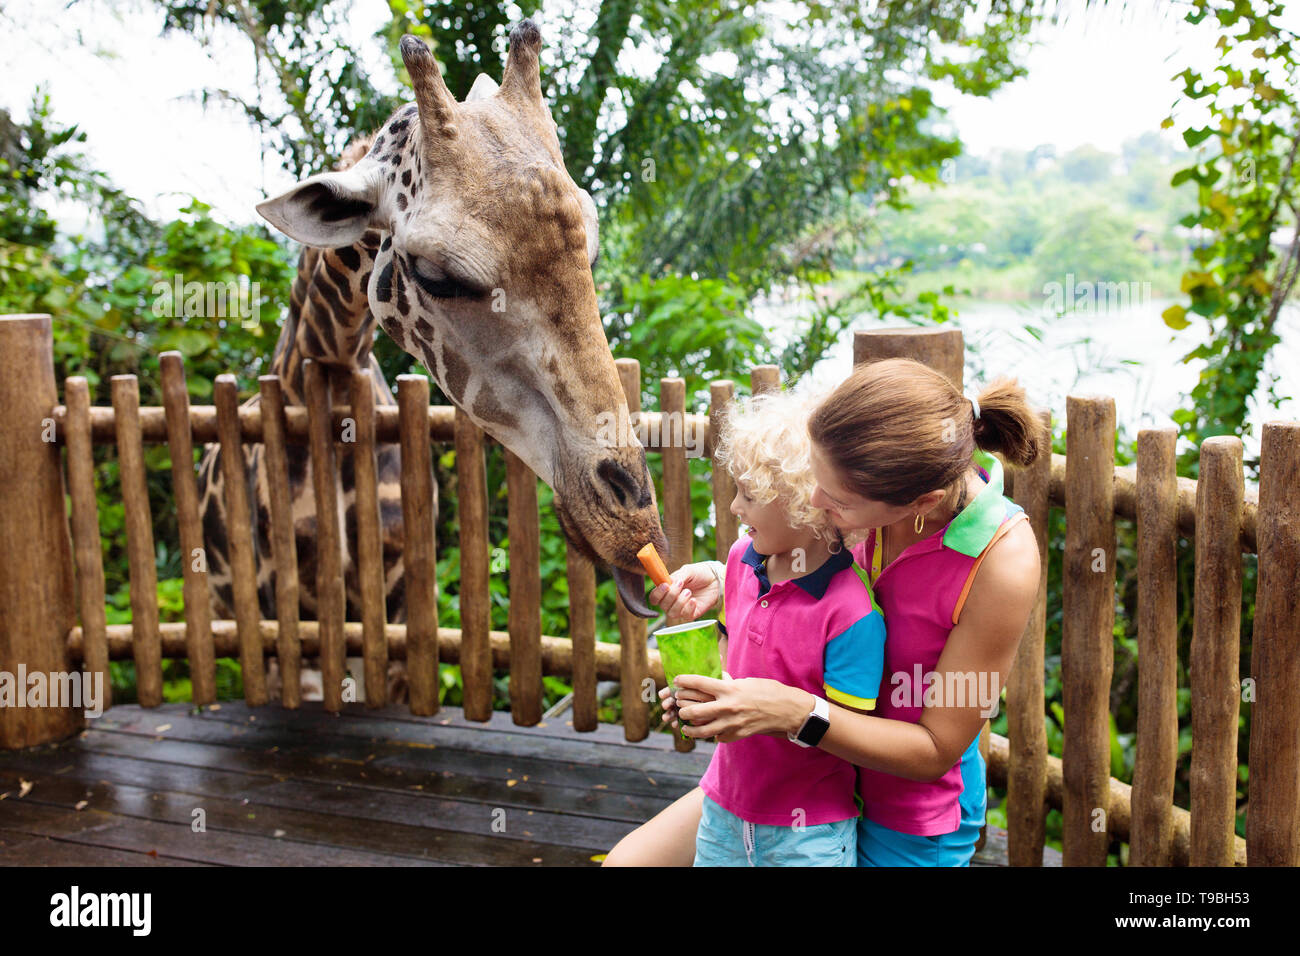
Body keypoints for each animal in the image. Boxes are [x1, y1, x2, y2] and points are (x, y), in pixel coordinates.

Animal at [202, 20, 669, 702]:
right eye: (435, 274)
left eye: (592, 244)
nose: (633, 525)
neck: (328, 374)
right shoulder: (290, 630)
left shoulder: (399, 616)